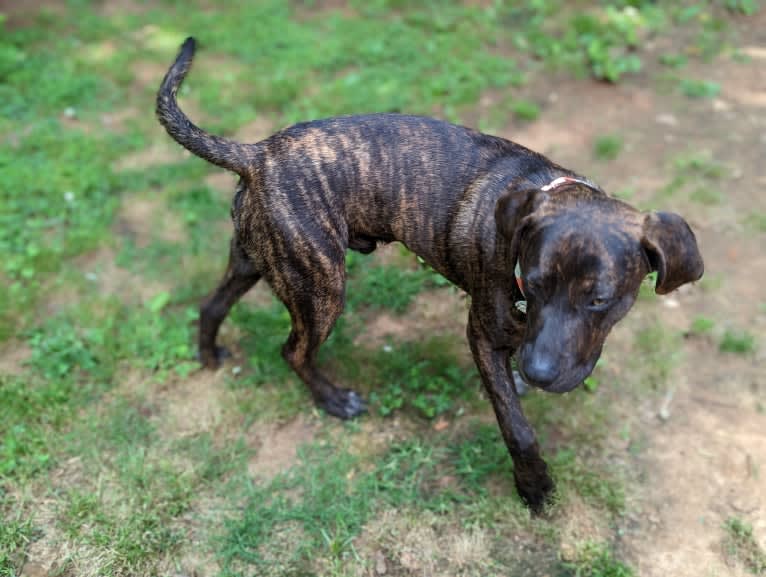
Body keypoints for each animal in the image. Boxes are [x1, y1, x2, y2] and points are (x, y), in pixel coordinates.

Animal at [158, 38, 708, 510]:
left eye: (599, 300)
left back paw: (208, 356)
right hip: (321, 287)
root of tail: (258, 153)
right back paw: (333, 400)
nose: (538, 372)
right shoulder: (482, 337)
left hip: (258, 260)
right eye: (531, 285)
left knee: (212, 305)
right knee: (292, 350)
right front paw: (534, 487)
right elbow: (516, 426)